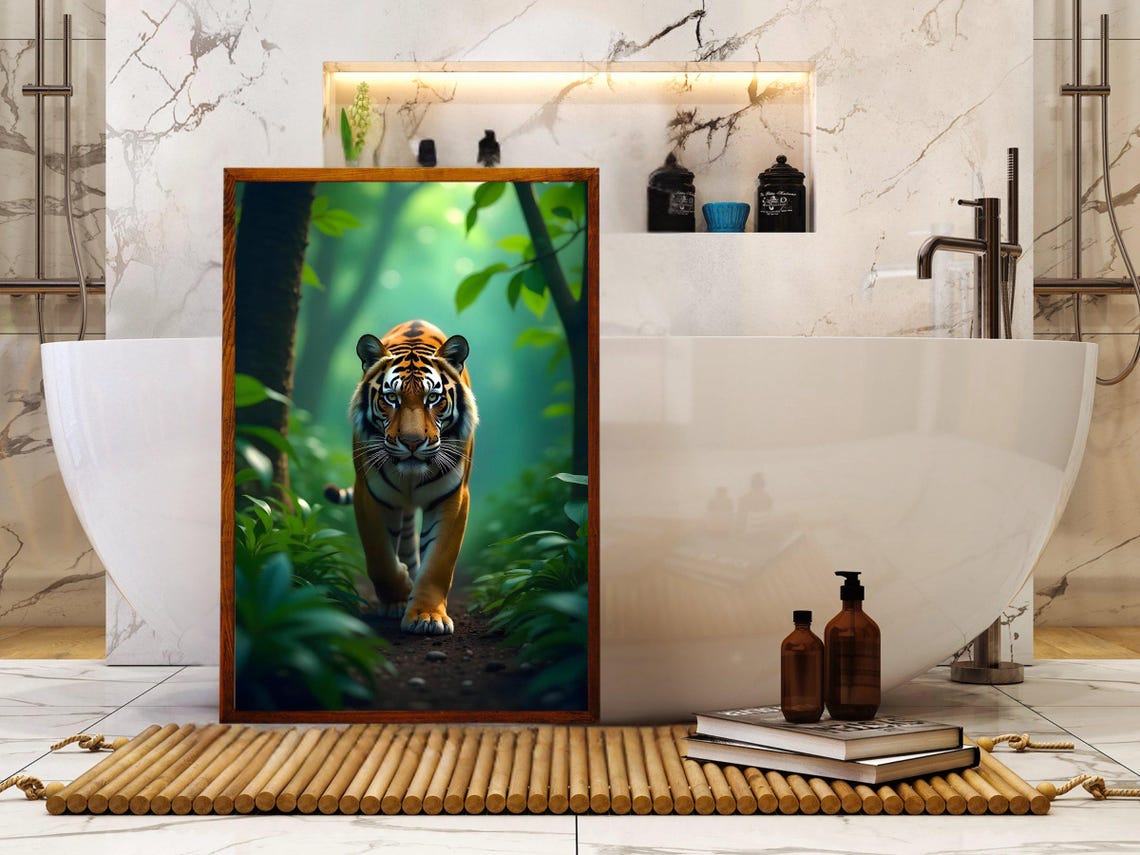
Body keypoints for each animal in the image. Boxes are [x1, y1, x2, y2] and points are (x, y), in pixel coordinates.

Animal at [324, 319, 478, 635]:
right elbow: (380, 558)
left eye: (433, 398)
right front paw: (400, 593)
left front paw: (427, 616)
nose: (412, 442)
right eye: (391, 398)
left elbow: (438, 562)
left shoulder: (453, 496)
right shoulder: (370, 493)